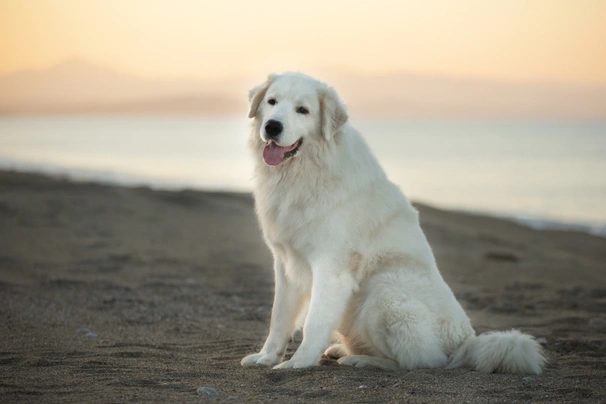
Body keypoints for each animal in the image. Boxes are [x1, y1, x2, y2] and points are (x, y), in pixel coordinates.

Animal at [241, 72, 548, 372]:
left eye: (302, 110)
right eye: (271, 101)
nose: (272, 126)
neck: (303, 172)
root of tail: (465, 341)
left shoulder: (331, 267)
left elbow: (313, 322)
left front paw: (299, 362)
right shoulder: (286, 263)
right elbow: (279, 318)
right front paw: (266, 357)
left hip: (383, 290)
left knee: (418, 360)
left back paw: (360, 360)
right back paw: (344, 350)